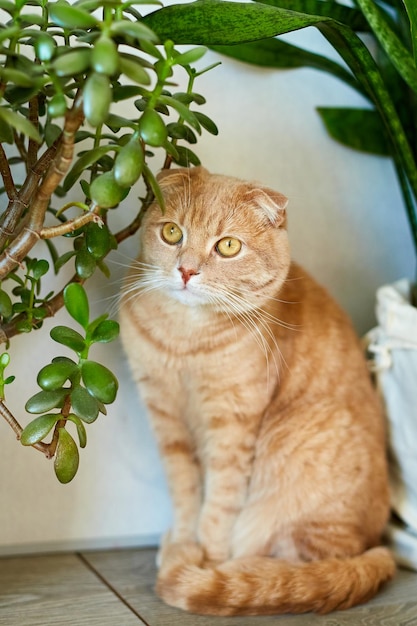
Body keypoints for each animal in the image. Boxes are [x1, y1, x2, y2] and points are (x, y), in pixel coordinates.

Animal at [119, 166, 394, 616]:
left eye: (228, 246)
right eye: (173, 233)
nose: (186, 271)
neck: (185, 340)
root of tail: (375, 542)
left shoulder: (233, 426)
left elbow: (218, 505)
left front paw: (203, 562)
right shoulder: (165, 415)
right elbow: (185, 492)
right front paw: (183, 542)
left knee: (297, 569)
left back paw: (238, 569)